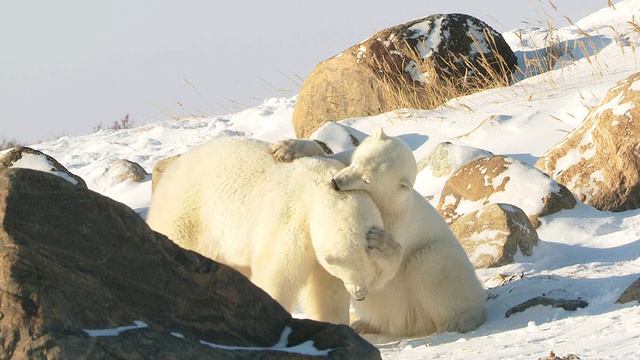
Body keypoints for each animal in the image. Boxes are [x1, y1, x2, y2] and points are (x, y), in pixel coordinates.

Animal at [148, 136, 402, 324]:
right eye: (353, 273)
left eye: (372, 275)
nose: (360, 296)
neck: (324, 193)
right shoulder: (292, 220)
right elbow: (278, 274)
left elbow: (325, 293)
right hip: (190, 213)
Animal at [268, 128, 484, 338]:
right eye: (357, 162)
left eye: (367, 180)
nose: (336, 182)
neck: (385, 201)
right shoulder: (345, 160)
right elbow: (331, 156)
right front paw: (286, 148)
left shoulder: (395, 220)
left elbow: (376, 274)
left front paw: (381, 245)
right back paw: (365, 324)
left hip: (440, 266)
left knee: (431, 263)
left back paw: (461, 319)